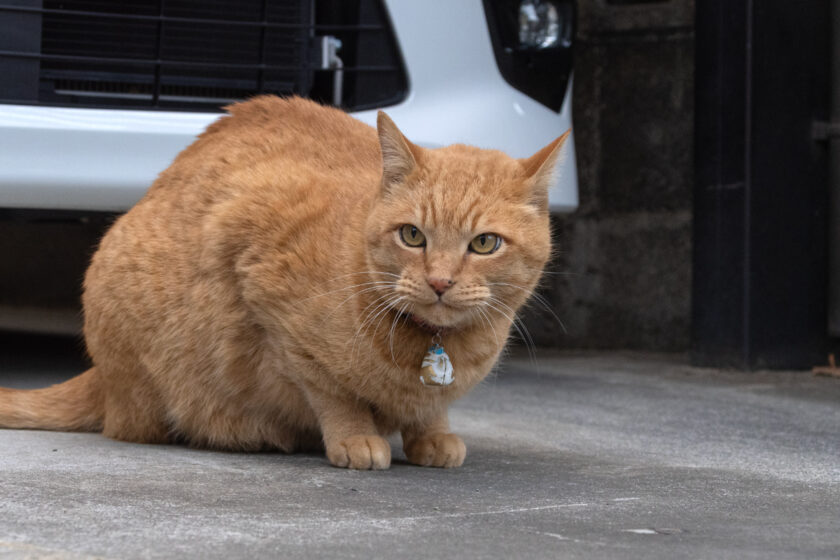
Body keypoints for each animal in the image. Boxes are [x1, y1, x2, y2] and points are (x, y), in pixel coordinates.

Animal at [1, 96, 564, 468]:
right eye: (412, 235)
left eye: (484, 244)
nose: (440, 281)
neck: (431, 348)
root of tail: (101, 373)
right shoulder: (261, 277)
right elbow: (332, 392)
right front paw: (354, 438)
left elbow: (430, 412)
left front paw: (432, 434)